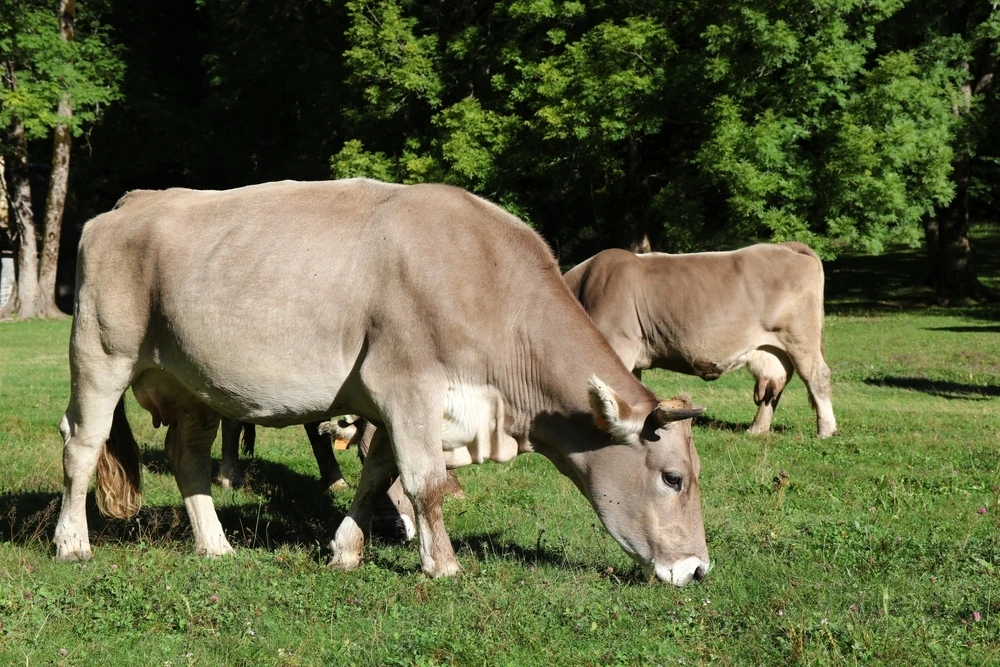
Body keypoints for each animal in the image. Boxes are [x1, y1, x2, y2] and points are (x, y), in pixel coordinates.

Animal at [53, 179, 710, 584]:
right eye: (672, 478)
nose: (699, 568)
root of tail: (135, 200)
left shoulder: (399, 404)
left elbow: (378, 477)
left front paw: (346, 549)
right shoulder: (407, 384)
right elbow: (426, 483)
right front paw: (442, 565)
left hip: (192, 383)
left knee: (187, 457)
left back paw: (215, 545)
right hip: (101, 353)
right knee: (82, 445)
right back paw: (72, 542)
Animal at [563, 244, 836, 438]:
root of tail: (787, 246)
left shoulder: (620, 342)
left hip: (801, 337)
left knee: (817, 376)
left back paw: (826, 431)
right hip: (773, 348)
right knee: (775, 384)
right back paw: (757, 429)